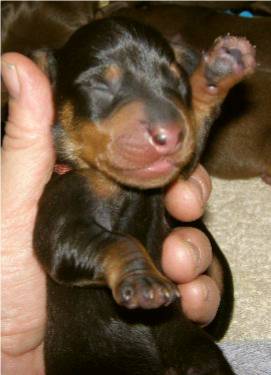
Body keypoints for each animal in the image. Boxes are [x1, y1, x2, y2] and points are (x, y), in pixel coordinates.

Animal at [33, 17, 256, 375]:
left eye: (176, 79)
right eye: (100, 85)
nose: (170, 135)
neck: (128, 189)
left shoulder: (177, 175)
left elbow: (193, 129)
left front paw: (218, 69)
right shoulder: (61, 205)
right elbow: (109, 241)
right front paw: (143, 281)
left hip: (199, 352)